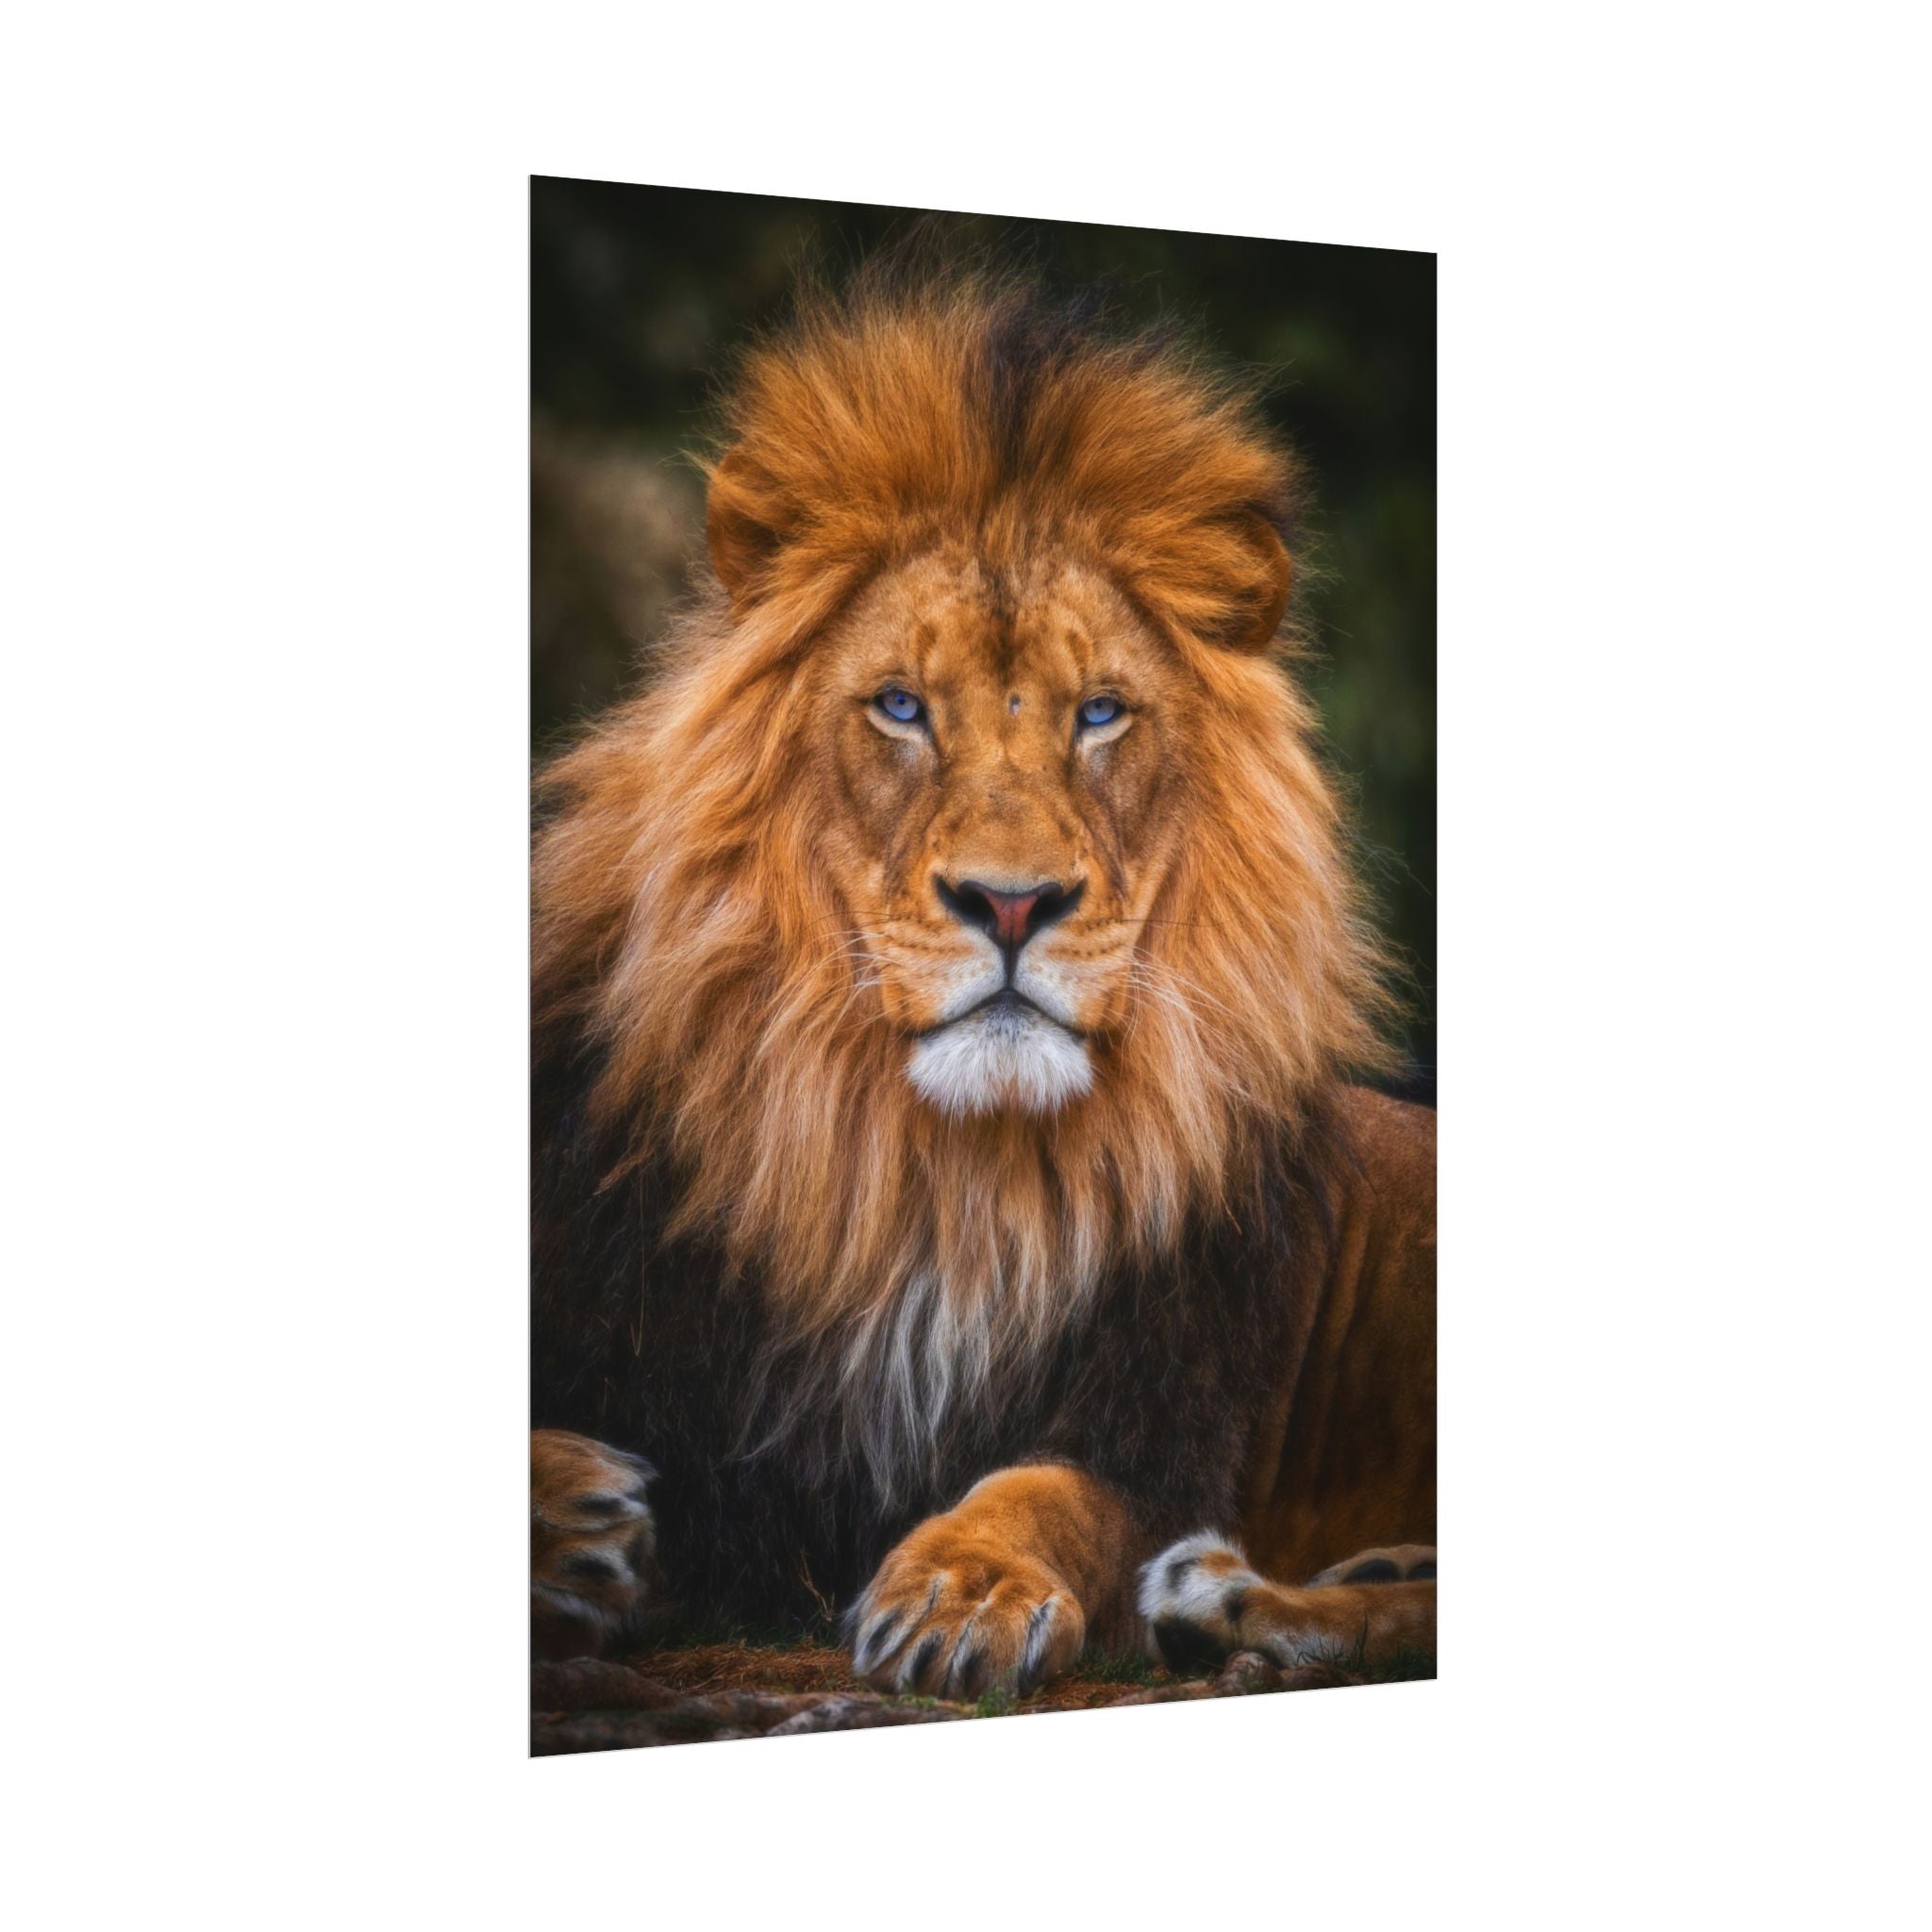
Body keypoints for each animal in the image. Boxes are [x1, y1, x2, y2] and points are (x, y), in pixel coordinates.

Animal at [530, 270, 1436, 1699]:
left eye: (1099, 713)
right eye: (901, 707)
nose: (1011, 904)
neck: (935, 1178)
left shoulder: (1159, 1427)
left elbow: (1045, 1492)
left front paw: (964, 1588)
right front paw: (574, 1516)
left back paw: (1235, 1603)